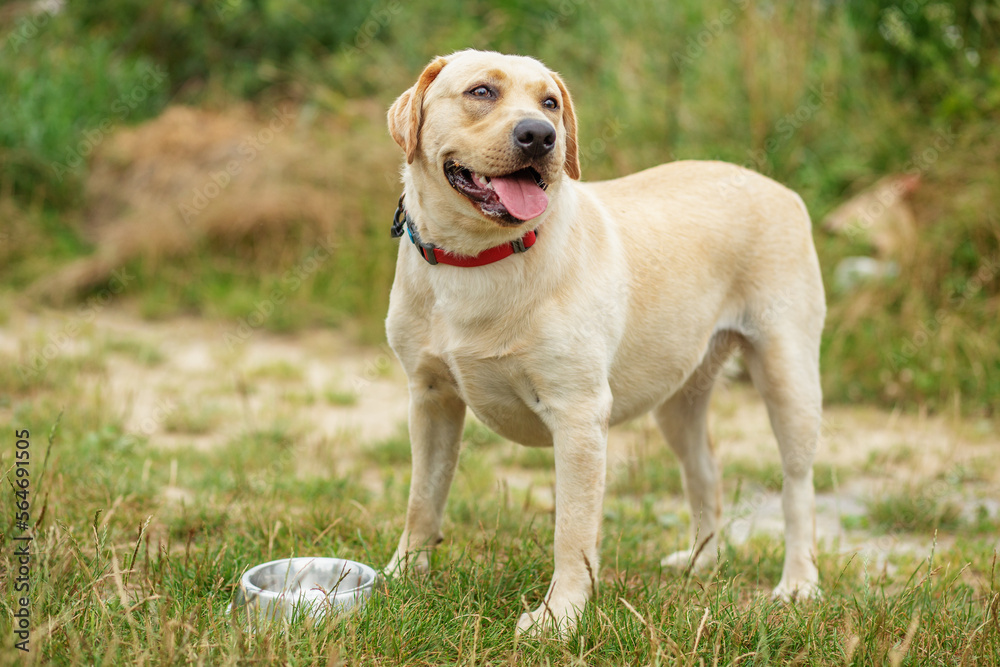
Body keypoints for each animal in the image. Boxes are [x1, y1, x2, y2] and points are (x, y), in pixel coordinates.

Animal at [378, 48, 824, 636]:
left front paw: (559, 617)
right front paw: (401, 576)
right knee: (704, 471)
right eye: (481, 92)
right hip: (677, 397)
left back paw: (798, 584)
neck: (479, 258)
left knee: (798, 487)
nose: (540, 136)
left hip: (788, 377)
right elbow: (421, 498)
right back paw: (700, 563)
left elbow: (572, 530)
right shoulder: (430, 398)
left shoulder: (578, 414)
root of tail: (780, 189)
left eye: (549, 102)